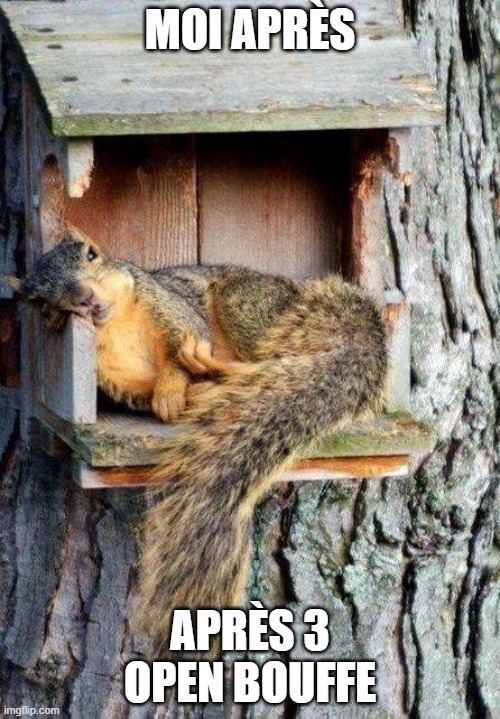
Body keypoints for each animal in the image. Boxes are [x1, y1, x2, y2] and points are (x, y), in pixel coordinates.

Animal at [6, 228, 386, 660]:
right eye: (40, 302)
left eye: (92, 255)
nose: (85, 297)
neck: (115, 328)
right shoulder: (119, 384)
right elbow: (147, 397)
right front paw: (177, 397)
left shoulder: (173, 309)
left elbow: (182, 350)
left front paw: (174, 389)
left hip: (249, 305)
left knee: (268, 358)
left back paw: (219, 369)